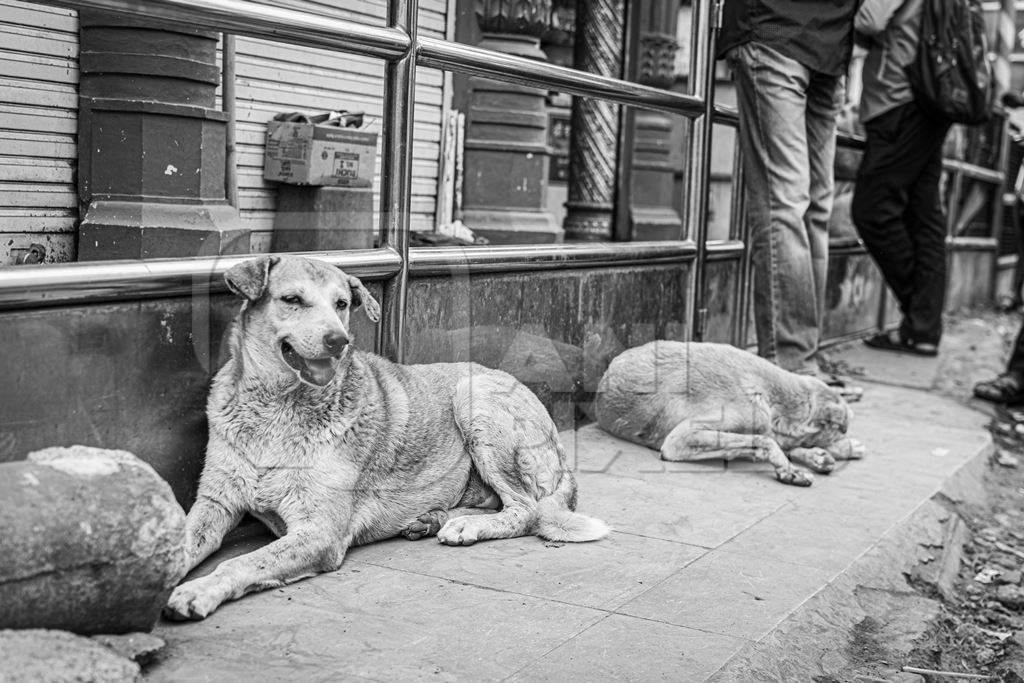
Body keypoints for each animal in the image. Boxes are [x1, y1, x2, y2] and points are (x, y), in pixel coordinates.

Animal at [162, 254, 602, 618]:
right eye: (292, 299)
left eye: (342, 304)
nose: (338, 341)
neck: (276, 407)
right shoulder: (215, 503)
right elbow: (179, 543)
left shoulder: (319, 531)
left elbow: (242, 561)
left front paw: (197, 590)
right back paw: (431, 520)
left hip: (475, 399)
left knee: (526, 509)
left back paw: (466, 527)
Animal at [593, 342, 864, 485]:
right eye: (841, 430)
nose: (848, 437)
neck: (773, 398)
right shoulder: (680, 440)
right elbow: (765, 441)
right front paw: (790, 468)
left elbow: (775, 440)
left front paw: (817, 455)